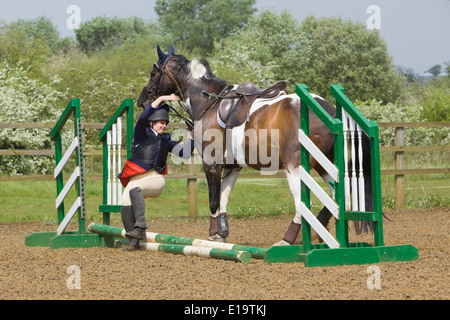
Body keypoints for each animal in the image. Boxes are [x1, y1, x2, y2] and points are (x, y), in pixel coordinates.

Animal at [138, 45, 372, 245]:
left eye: (153, 73)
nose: (143, 100)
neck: (208, 102)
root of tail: (330, 111)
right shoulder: (232, 167)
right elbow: (223, 198)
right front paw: (222, 233)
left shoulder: (211, 164)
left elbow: (214, 201)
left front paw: (213, 235)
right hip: (325, 165)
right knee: (339, 196)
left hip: (295, 167)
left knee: (303, 204)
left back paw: (289, 239)